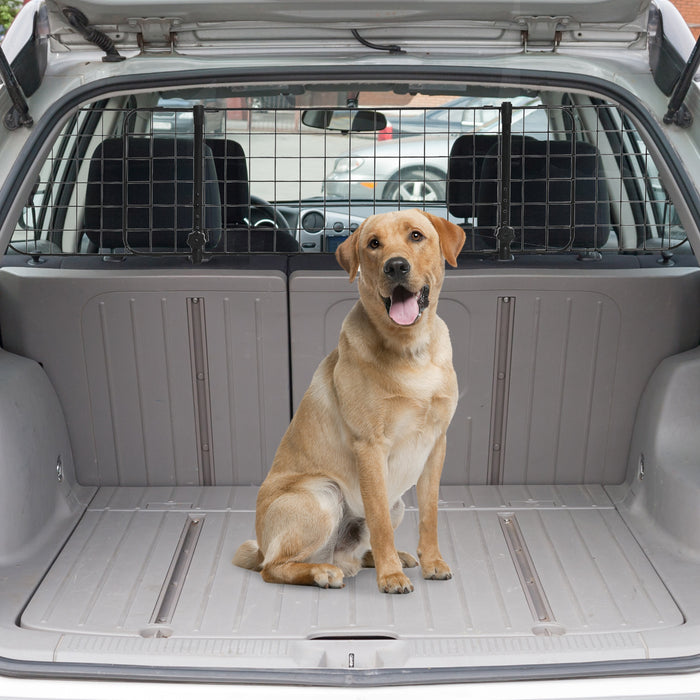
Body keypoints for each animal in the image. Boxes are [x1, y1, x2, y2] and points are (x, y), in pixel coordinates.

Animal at [235, 208, 464, 592]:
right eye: (373, 244)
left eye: (416, 236)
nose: (396, 266)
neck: (411, 350)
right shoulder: (370, 447)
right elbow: (379, 521)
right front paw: (391, 577)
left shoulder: (436, 445)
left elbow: (429, 514)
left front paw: (432, 562)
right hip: (322, 495)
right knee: (274, 567)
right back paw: (324, 572)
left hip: (396, 504)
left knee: (353, 552)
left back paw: (384, 558)